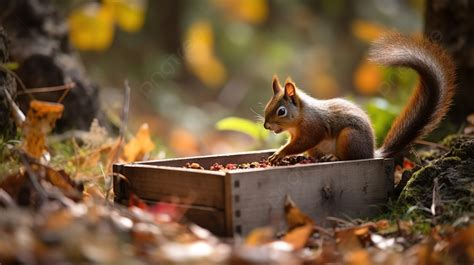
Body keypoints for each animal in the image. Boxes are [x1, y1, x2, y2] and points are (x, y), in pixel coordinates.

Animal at [262, 32, 456, 162]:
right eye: (266, 107)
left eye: (281, 111)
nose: (266, 126)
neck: (300, 117)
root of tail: (371, 153)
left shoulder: (313, 127)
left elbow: (303, 142)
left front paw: (280, 153)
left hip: (349, 138)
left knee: (350, 158)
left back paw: (335, 158)